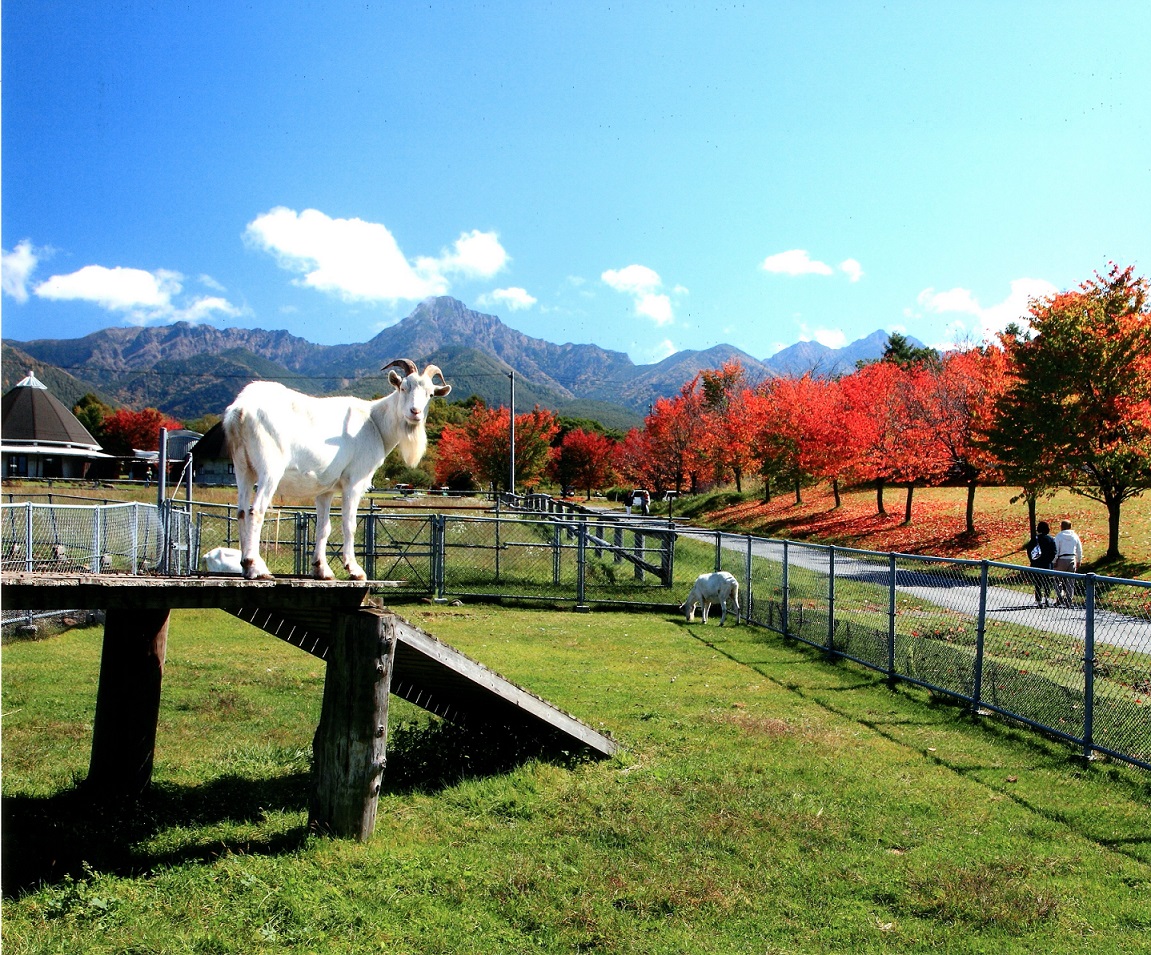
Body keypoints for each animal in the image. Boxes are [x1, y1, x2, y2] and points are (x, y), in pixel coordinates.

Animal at [219, 363, 448, 579]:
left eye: (430, 394)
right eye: (403, 387)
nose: (415, 412)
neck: (375, 422)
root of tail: (240, 410)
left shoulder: (325, 489)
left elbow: (324, 527)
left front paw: (322, 569)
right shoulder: (354, 481)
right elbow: (349, 523)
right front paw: (355, 570)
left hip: (242, 468)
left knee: (241, 512)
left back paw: (245, 566)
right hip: (270, 469)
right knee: (256, 510)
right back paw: (256, 567)